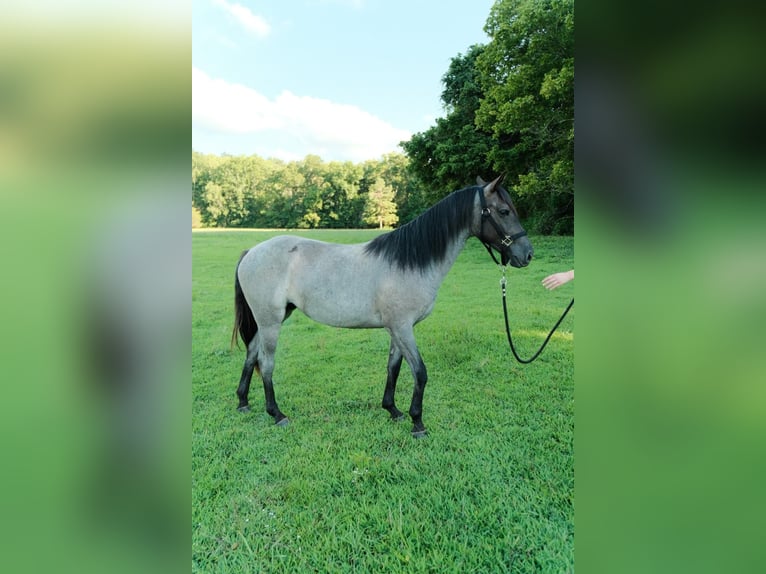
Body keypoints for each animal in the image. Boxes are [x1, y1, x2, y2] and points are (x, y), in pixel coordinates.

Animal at [231, 175, 533, 437]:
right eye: (504, 211)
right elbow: (420, 372)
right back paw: (277, 414)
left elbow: (394, 368)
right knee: (265, 362)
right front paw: (417, 423)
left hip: (272, 319)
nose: (527, 254)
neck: (409, 262)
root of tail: (251, 252)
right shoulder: (402, 328)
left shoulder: (397, 329)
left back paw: (243, 402)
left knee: (251, 353)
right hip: (270, 321)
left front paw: (393, 411)